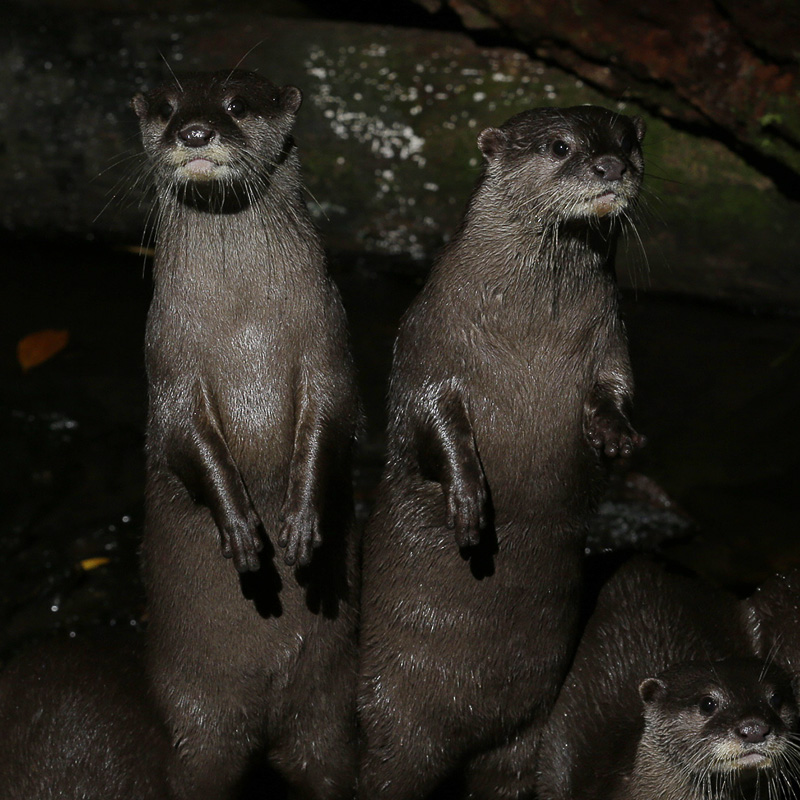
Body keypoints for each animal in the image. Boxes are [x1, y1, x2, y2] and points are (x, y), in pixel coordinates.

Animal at [132, 70, 360, 800]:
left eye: (236, 104)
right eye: (168, 108)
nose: (195, 132)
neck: (244, 329)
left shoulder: (328, 346)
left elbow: (329, 420)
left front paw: (302, 527)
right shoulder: (170, 366)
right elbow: (188, 441)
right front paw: (242, 531)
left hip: (326, 719)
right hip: (195, 720)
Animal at [357, 106, 646, 799]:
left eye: (629, 141)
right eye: (560, 146)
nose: (610, 166)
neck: (529, 332)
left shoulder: (611, 340)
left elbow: (618, 389)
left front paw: (616, 437)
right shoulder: (431, 341)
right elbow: (432, 422)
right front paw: (468, 504)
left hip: (523, 738)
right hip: (395, 723)